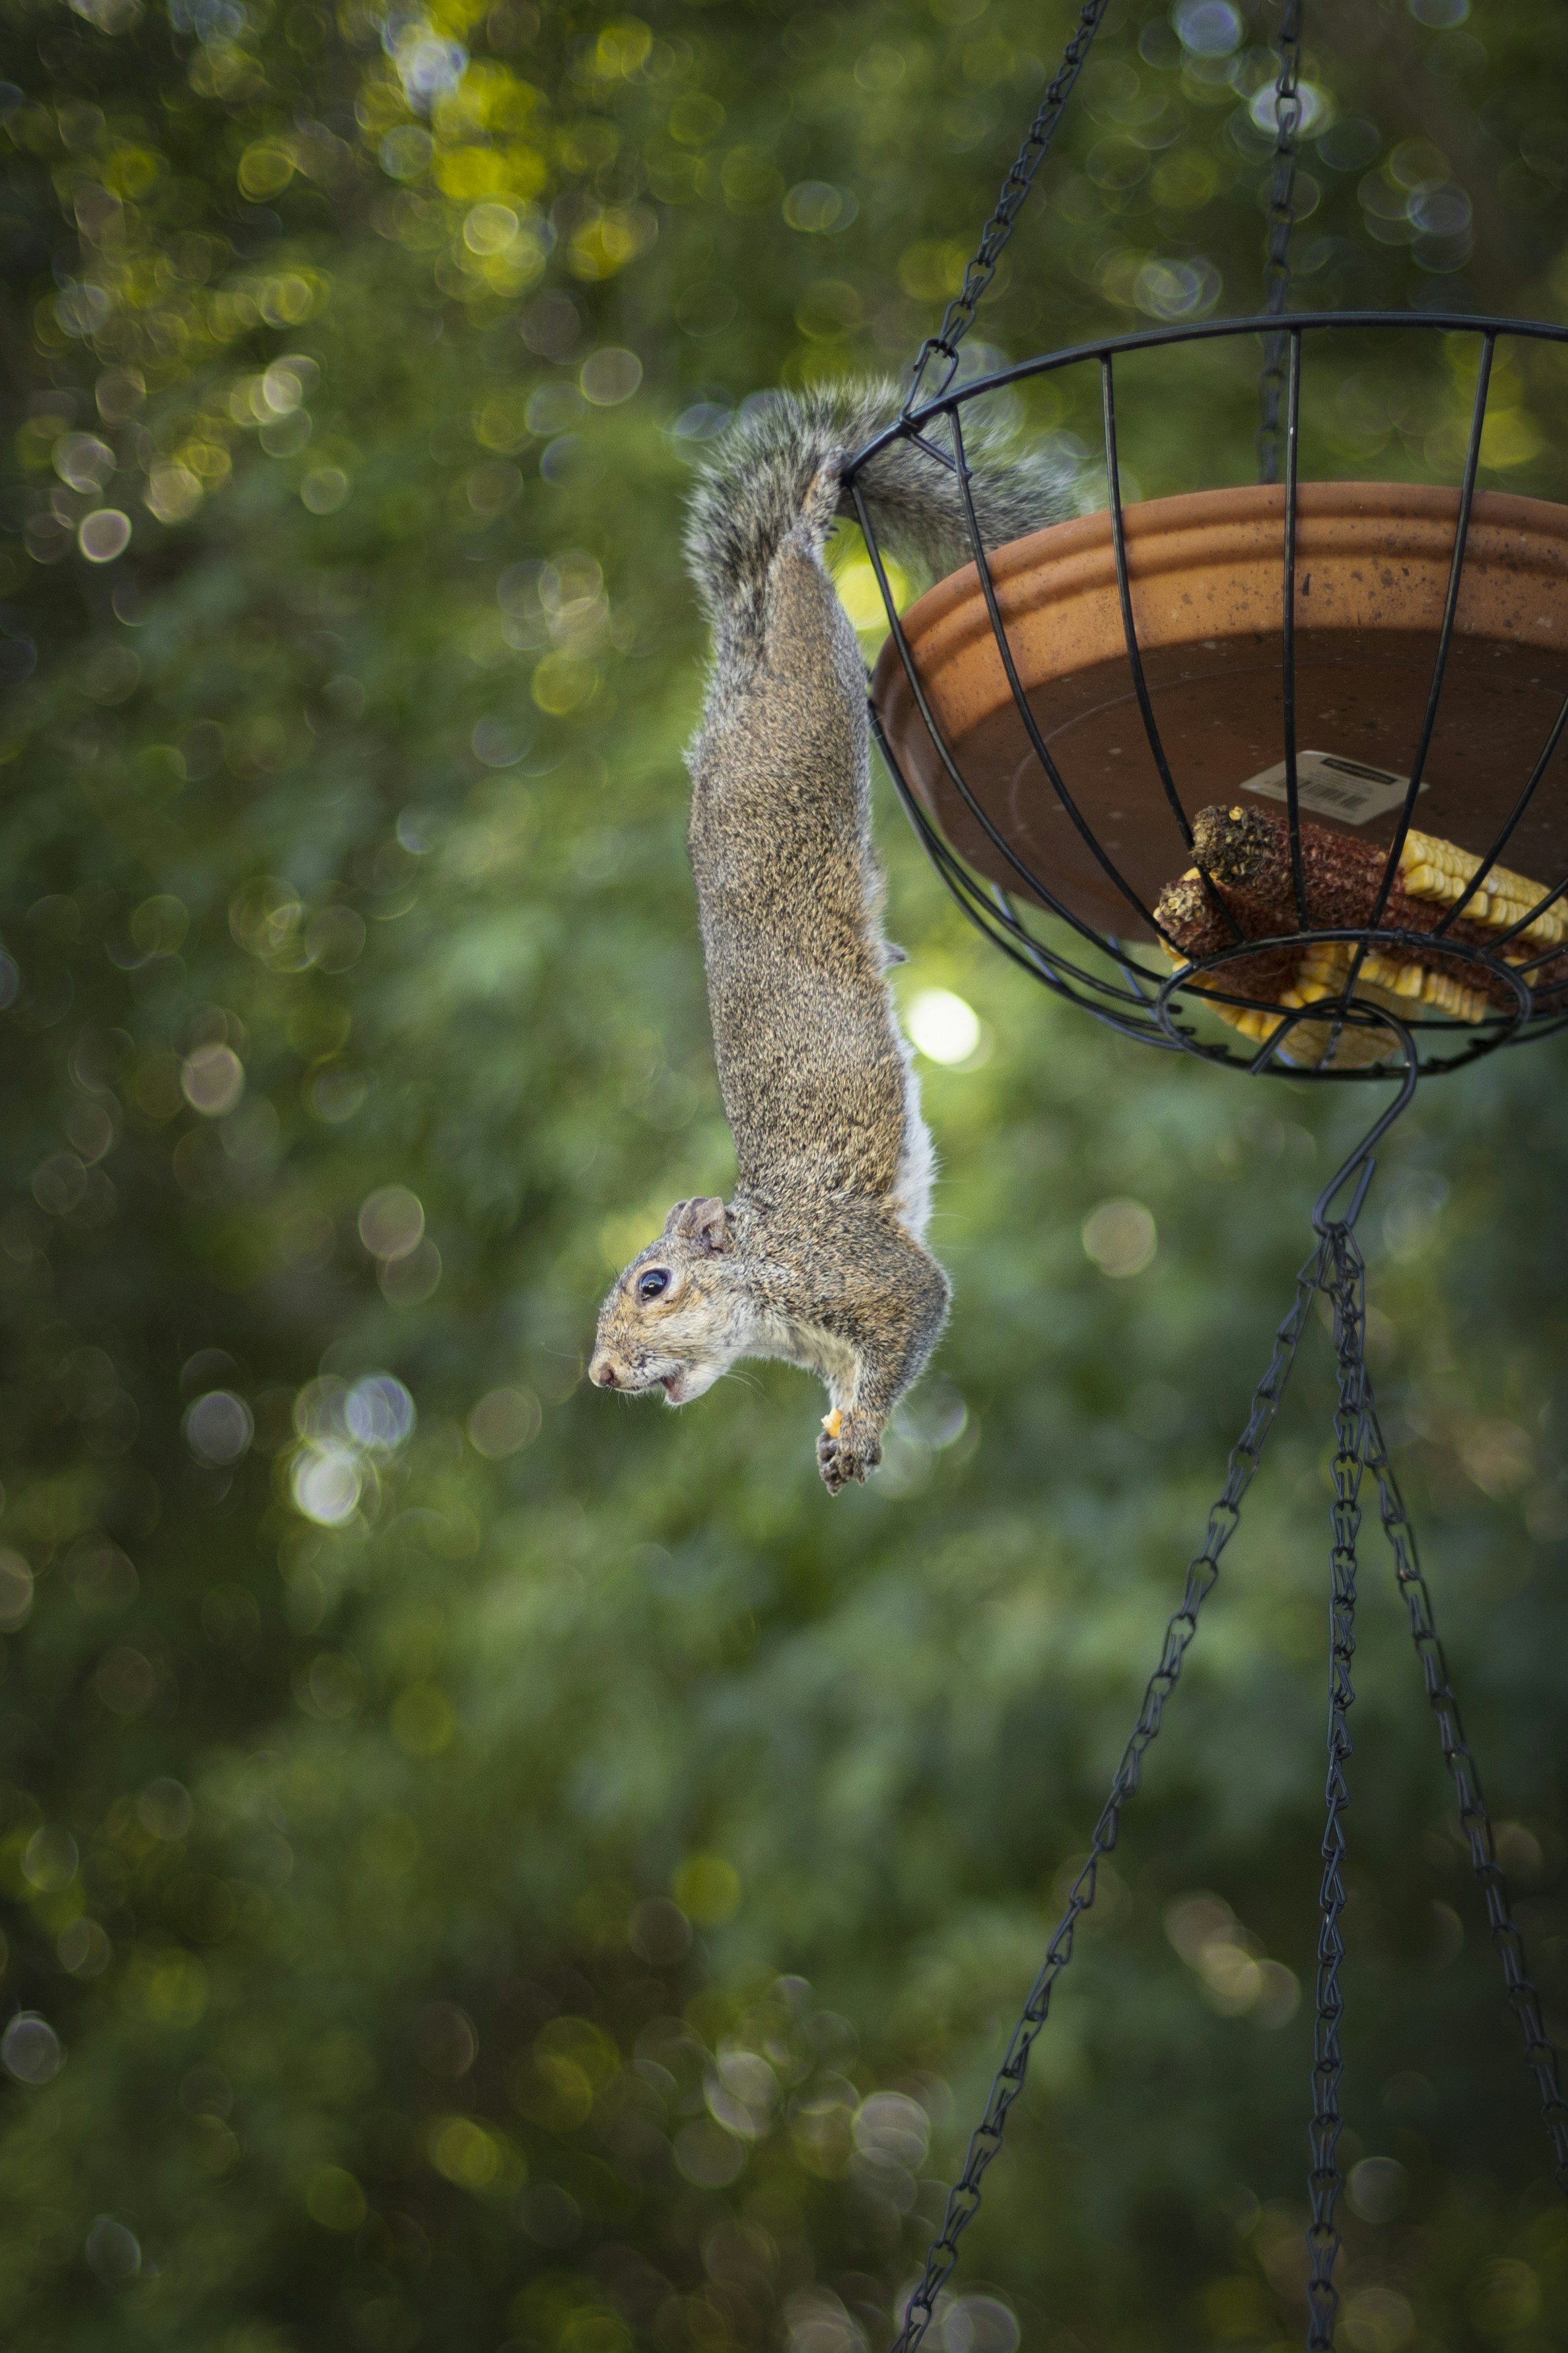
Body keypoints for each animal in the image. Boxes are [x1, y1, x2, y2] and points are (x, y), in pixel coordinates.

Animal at [589, 381, 1070, 1491]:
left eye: (653, 1285)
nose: (598, 1374)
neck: (767, 1274)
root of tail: (745, 660)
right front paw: (839, 1430)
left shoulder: (858, 1269)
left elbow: (917, 1309)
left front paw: (858, 1433)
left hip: (813, 686)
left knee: (803, 583)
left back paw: (807, 520)